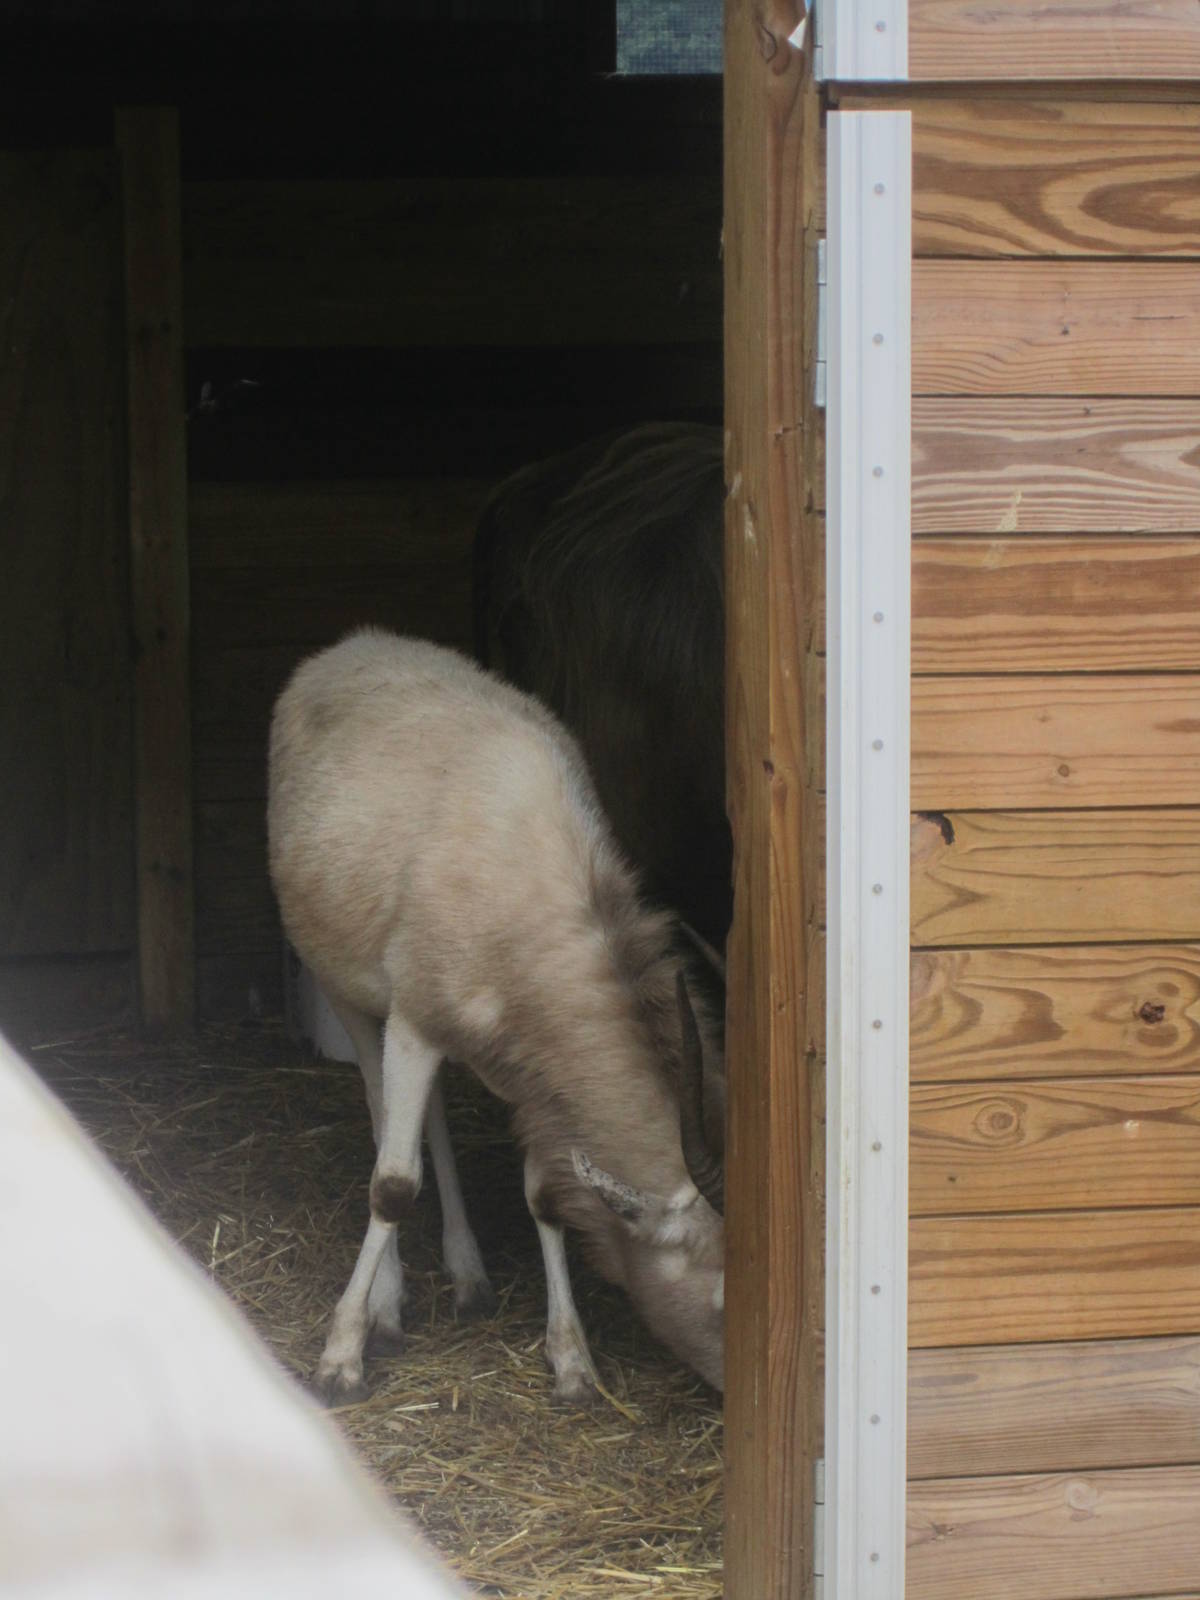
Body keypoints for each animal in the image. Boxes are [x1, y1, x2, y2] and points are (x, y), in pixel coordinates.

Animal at [267, 629, 725, 1405]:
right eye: (726, 1294)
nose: (733, 1385)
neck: (523, 878)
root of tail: (347, 647)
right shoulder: (414, 1020)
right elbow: (393, 1186)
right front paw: (340, 1357)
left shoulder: (534, 1069)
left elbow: (544, 1197)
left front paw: (572, 1363)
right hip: (348, 990)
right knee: (381, 1114)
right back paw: (389, 1306)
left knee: (429, 1121)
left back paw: (469, 1276)